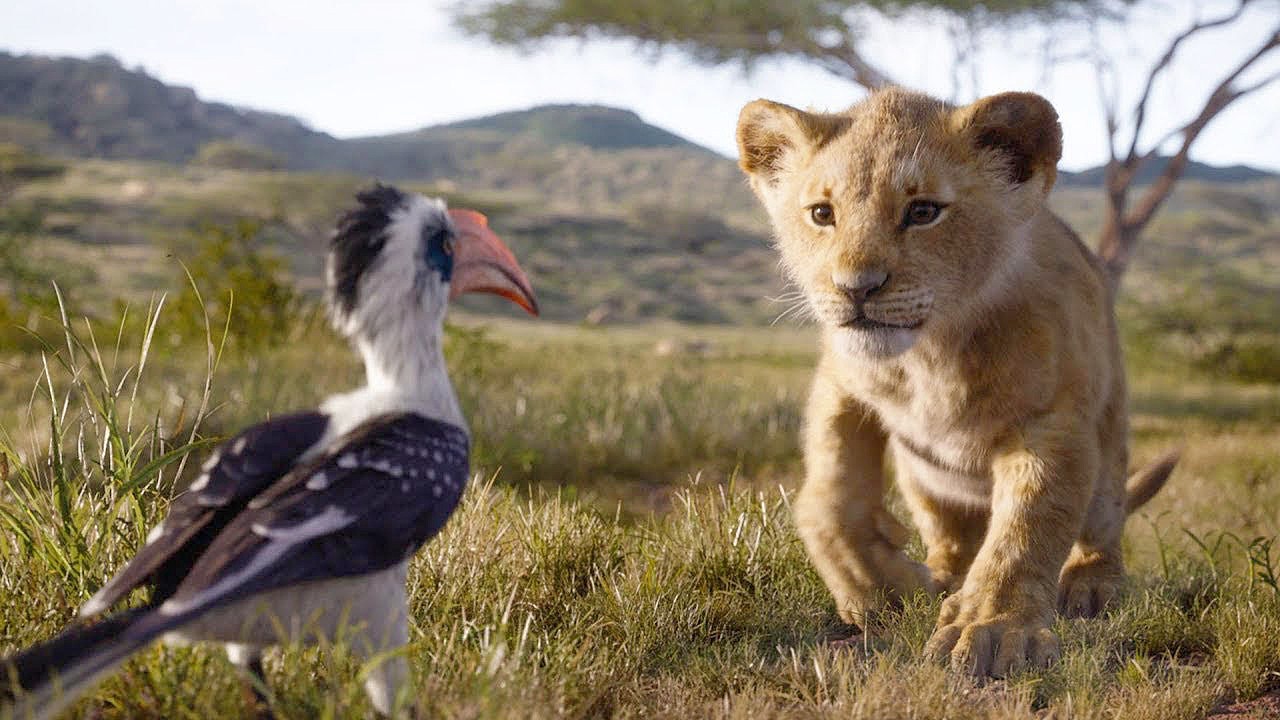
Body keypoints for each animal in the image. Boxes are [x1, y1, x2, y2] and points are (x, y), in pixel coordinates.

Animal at [735, 88, 1178, 677]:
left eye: (923, 212)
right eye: (822, 214)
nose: (856, 288)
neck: (930, 354)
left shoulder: (1050, 422)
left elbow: (1025, 531)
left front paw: (993, 629)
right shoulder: (841, 381)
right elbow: (827, 499)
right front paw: (875, 585)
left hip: (1109, 445)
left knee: (1100, 523)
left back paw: (1090, 587)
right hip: (925, 481)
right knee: (951, 537)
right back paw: (940, 578)